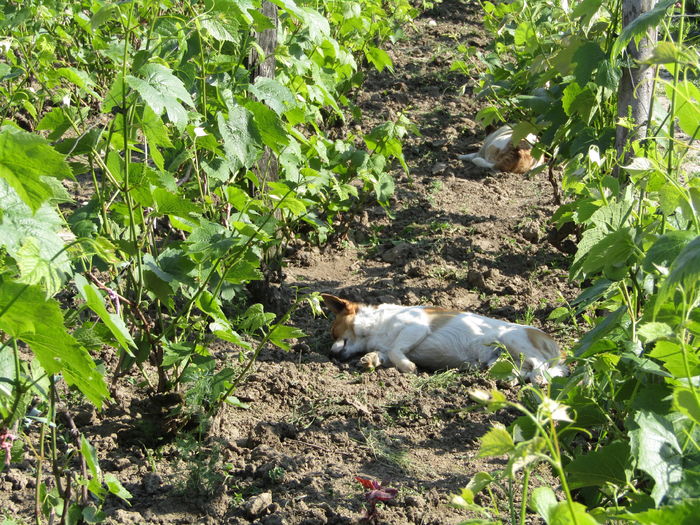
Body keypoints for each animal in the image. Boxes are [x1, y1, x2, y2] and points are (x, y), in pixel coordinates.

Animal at [320, 292, 568, 382]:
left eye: (333, 332)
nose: (330, 355)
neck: (375, 328)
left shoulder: (416, 328)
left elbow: (395, 349)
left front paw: (409, 367)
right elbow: (386, 353)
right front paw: (370, 359)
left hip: (513, 340)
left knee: (539, 364)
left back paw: (538, 378)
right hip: (500, 360)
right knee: (521, 369)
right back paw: (510, 379)